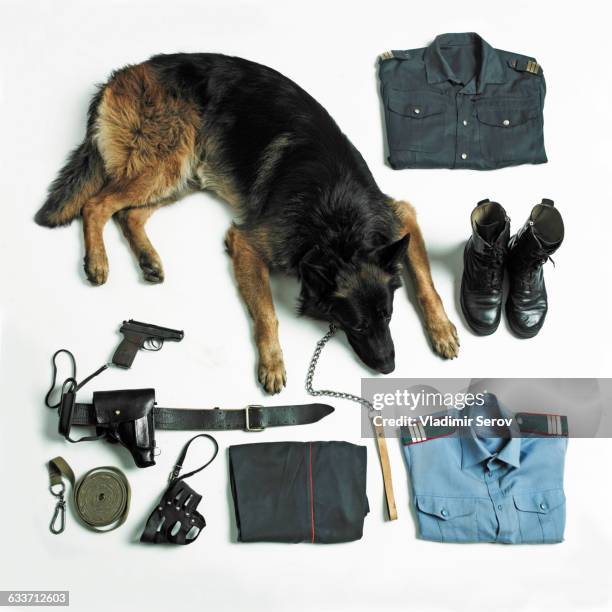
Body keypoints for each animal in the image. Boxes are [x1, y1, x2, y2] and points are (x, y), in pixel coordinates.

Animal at [34, 55, 460, 394]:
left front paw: (442, 330)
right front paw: (272, 364)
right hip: (167, 161)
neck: (339, 227)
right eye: (354, 328)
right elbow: (268, 313)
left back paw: (148, 260)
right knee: (96, 204)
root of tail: (123, 73)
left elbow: (426, 284)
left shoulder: (401, 216)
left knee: (128, 214)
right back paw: (98, 262)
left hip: (181, 173)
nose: (389, 368)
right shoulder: (247, 244)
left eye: (388, 317)